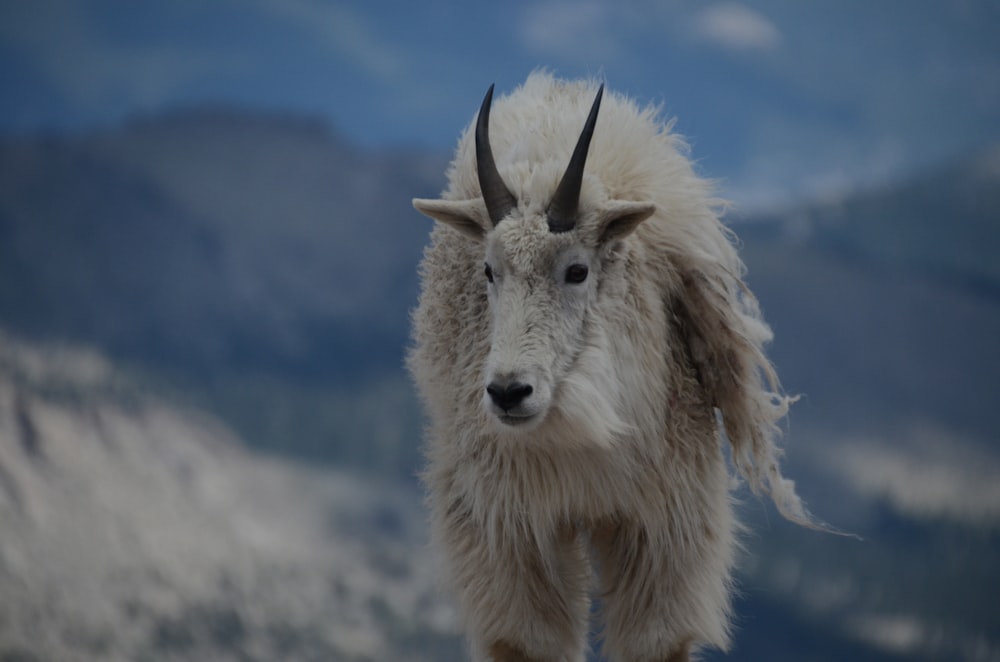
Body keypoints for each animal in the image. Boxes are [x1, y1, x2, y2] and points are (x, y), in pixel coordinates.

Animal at [408, 74, 812, 662]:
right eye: (488, 270)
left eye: (577, 270)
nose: (509, 392)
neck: (582, 432)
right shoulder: (513, 529)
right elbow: (531, 641)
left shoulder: (661, 525)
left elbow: (654, 640)